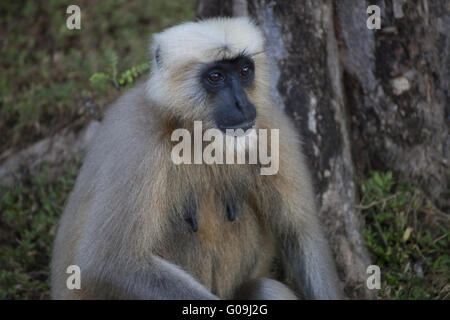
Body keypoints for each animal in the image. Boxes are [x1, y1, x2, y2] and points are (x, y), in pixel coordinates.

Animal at [51, 16, 342, 298]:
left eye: (244, 71)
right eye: (215, 77)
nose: (240, 102)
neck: (198, 135)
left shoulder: (269, 124)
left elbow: (301, 234)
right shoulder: (137, 141)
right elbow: (109, 264)